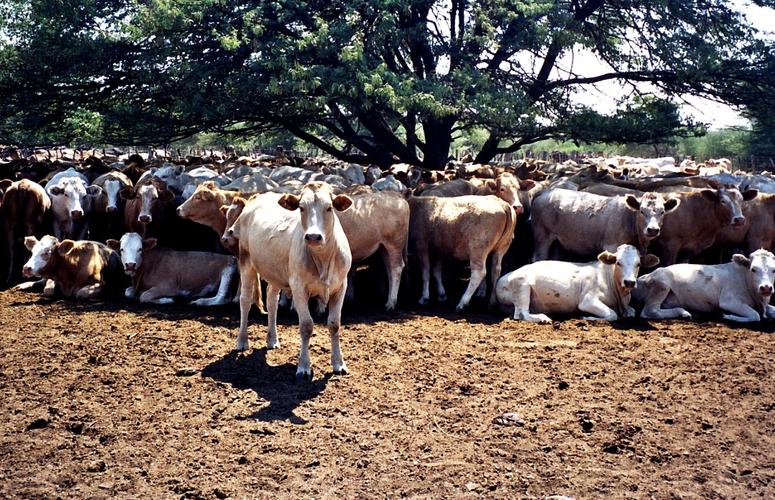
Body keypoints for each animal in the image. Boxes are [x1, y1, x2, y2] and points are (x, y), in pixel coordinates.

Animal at [107, 231, 236, 304]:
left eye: (140, 249)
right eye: (122, 249)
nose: (130, 265)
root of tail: (231, 256)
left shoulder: (169, 286)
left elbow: (144, 296)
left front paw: (167, 299)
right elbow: (127, 292)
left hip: (228, 269)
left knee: (222, 297)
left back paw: (201, 301)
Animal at [227, 182, 354, 380]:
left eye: (329, 208)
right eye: (301, 207)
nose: (313, 236)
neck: (323, 260)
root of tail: (257, 197)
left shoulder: (340, 286)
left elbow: (334, 324)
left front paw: (339, 364)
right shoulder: (298, 287)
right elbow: (306, 325)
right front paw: (303, 367)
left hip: (274, 272)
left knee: (272, 300)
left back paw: (272, 339)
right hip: (246, 261)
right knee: (245, 301)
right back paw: (242, 341)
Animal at [498, 244, 660, 322]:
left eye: (638, 264)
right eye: (618, 263)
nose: (629, 282)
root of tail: (502, 278)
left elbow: (631, 312)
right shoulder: (588, 300)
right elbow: (612, 314)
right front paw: (587, 317)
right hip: (522, 287)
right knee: (521, 314)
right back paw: (542, 318)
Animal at [632, 248, 775, 322]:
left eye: (774, 269)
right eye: (753, 269)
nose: (766, 288)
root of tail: (642, 277)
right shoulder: (728, 301)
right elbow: (755, 315)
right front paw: (726, 315)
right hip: (662, 285)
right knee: (650, 311)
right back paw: (683, 312)